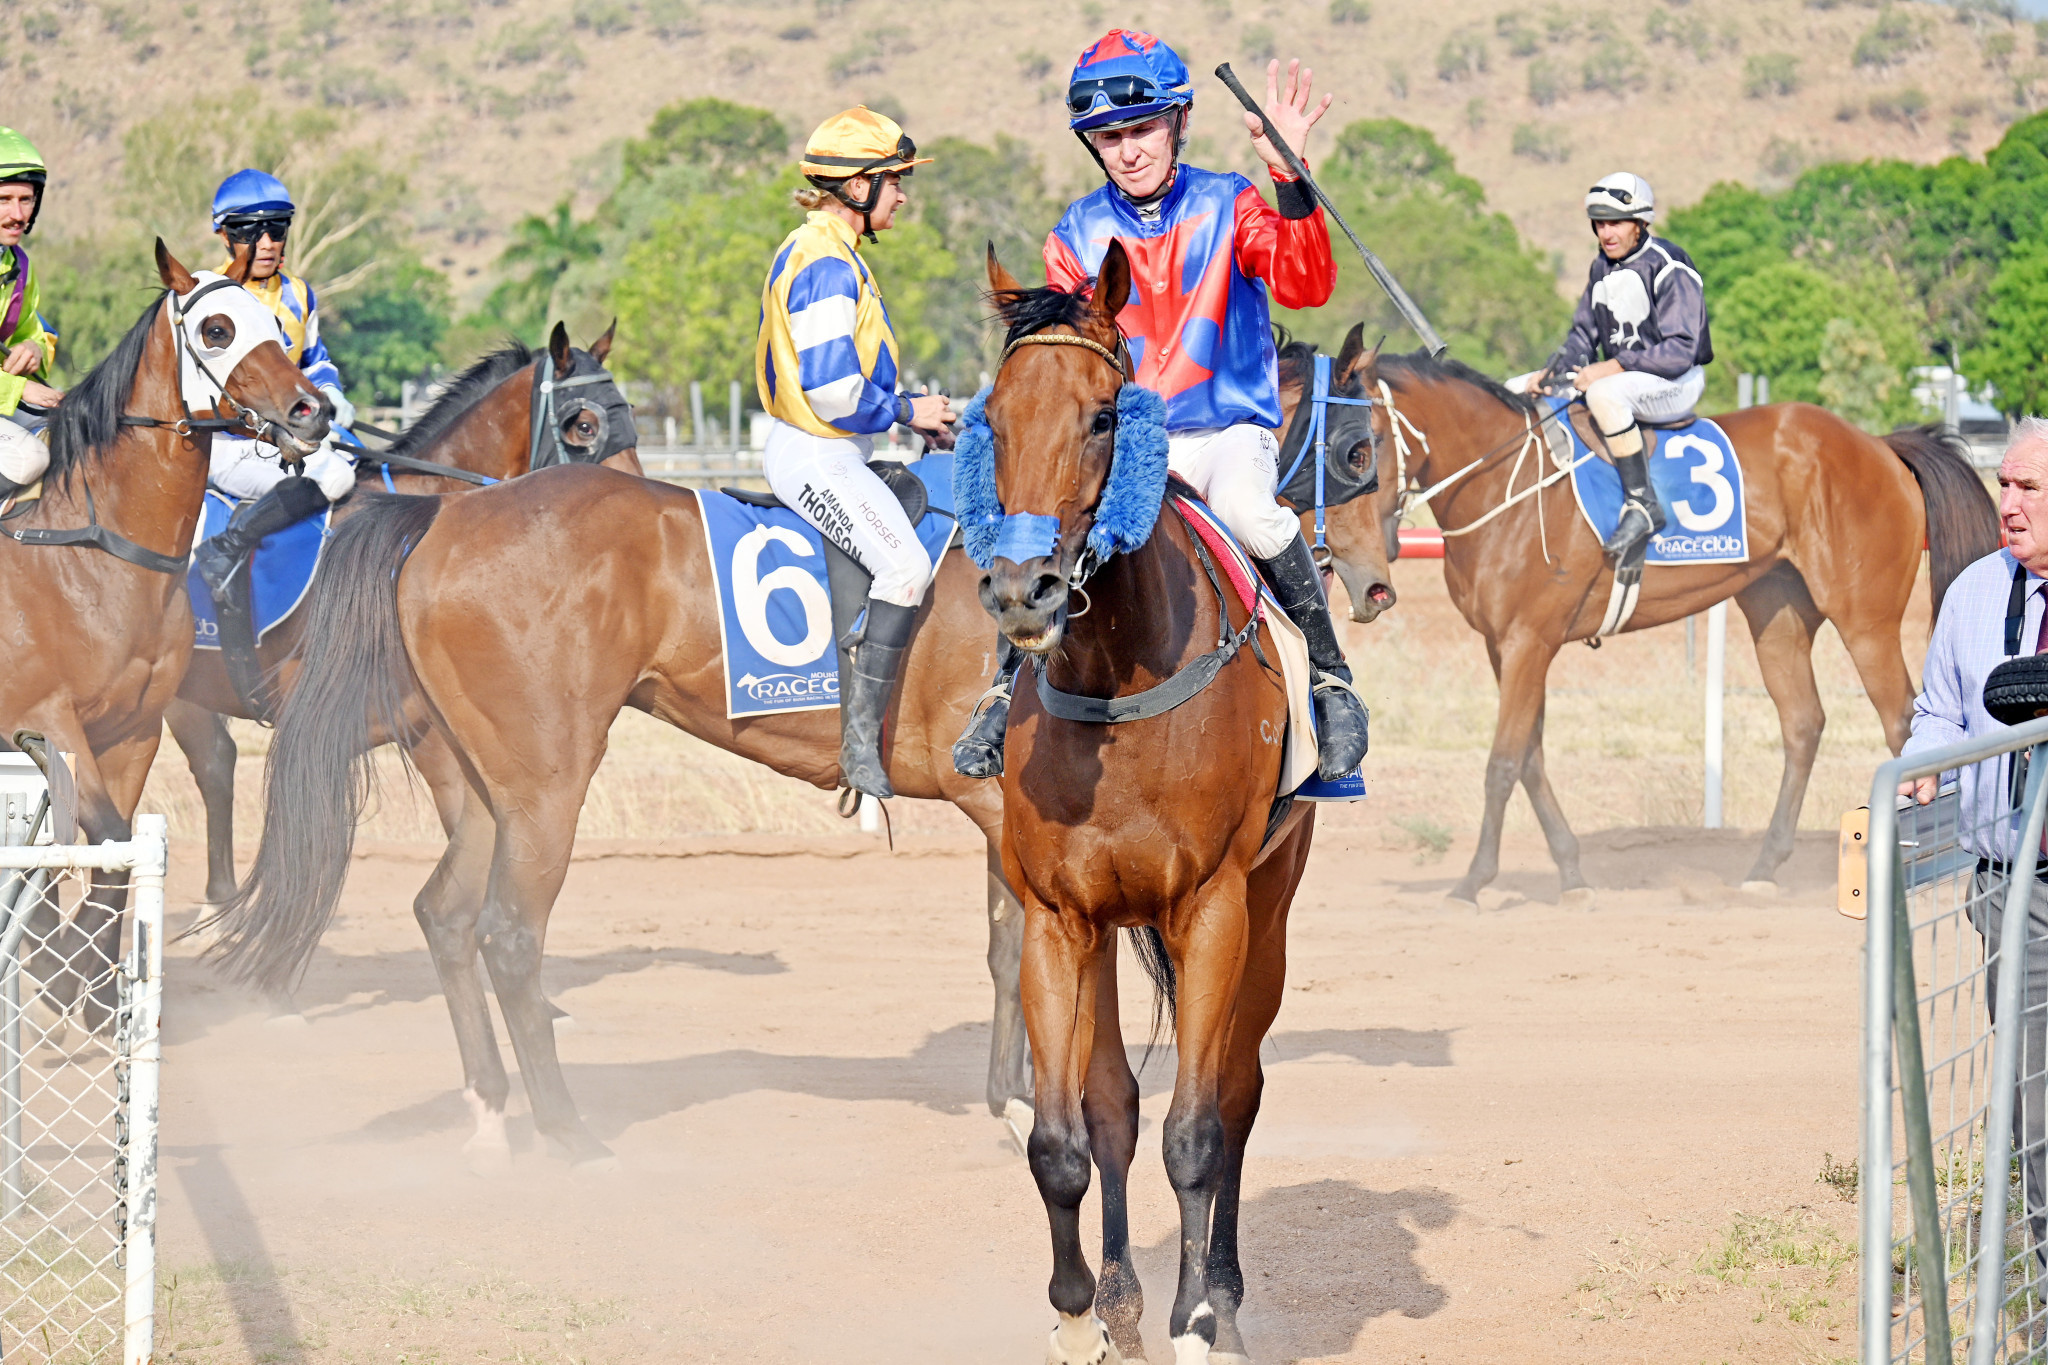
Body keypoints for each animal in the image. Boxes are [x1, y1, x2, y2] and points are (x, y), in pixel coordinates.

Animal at [2, 245, 327, 1031]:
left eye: (277, 326)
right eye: (216, 329)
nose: (312, 410)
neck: (94, 559)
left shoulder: (134, 729)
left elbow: (115, 852)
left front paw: (87, 985)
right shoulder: (46, 719)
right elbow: (102, 836)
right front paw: (63, 971)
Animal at [978, 245, 1318, 1365]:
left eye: (1100, 416)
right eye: (992, 417)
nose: (1023, 591)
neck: (1117, 679)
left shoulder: (1210, 908)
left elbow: (1197, 1130)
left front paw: (1195, 1318)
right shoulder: (1058, 917)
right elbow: (1066, 1136)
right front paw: (1082, 1309)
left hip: (1271, 905)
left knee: (1237, 1090)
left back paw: (1224, 1292)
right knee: (1117, 1104)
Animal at [1310, 349, 1998, 908]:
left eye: (1360, 445)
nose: (1354, 564)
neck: (1505, 484)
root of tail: (1879, 444)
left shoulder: (1529, 643)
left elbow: (1504, 761)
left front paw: (1474, 881)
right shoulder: (1503, 647)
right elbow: (1529, 757)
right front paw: (1571, 874)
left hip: (1866, 619)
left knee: (1904, 724)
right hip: (1777, 609)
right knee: (1804, 723)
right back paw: (1764, 867)